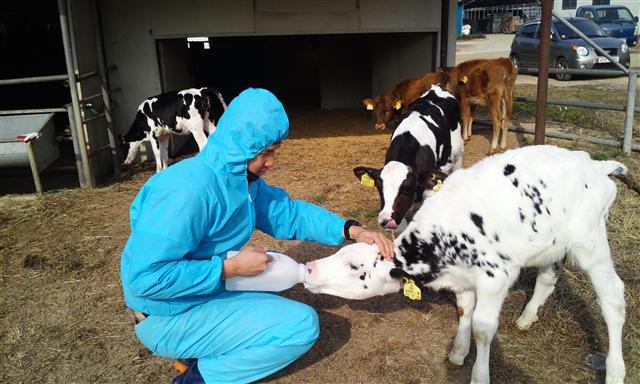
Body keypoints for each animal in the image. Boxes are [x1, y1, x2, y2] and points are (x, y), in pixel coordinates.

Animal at [306, 145, 636, 384]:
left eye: (354, 265)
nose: (309, 268)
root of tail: (593, 163)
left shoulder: (495, 278)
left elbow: (482, 328)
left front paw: (479, 375)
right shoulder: (464, 280)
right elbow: (465, 312)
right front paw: (458, 352)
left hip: (590, 243)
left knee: (613, 298)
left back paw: (615, 372)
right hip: (551, 243)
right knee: (548, 278)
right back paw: (526, 318)